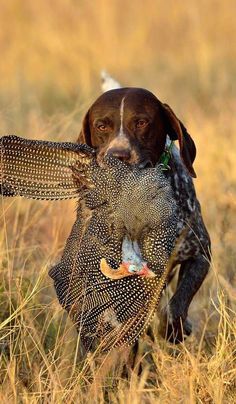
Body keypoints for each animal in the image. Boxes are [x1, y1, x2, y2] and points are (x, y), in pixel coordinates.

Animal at [77, 87, 210, 342]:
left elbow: (176, 305)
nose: (118, 156)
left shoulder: (199, 254)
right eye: (101, 126)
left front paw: (175, 329)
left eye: (141, 122)